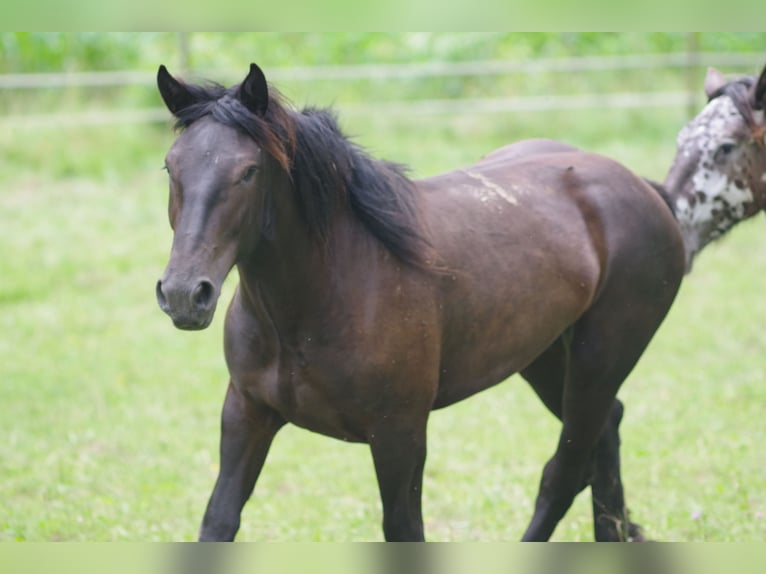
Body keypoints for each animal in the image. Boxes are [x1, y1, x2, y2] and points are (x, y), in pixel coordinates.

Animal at [154, 64, 684, 544]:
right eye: (170, 166)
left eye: (248, 171)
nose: (184, 294)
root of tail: (644, 188)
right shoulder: (246, 414)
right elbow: (219, 520)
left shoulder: (399, 435)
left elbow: (403, 529)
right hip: (545, 357)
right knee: (605, 432)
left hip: (600, 360)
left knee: (565, 470)